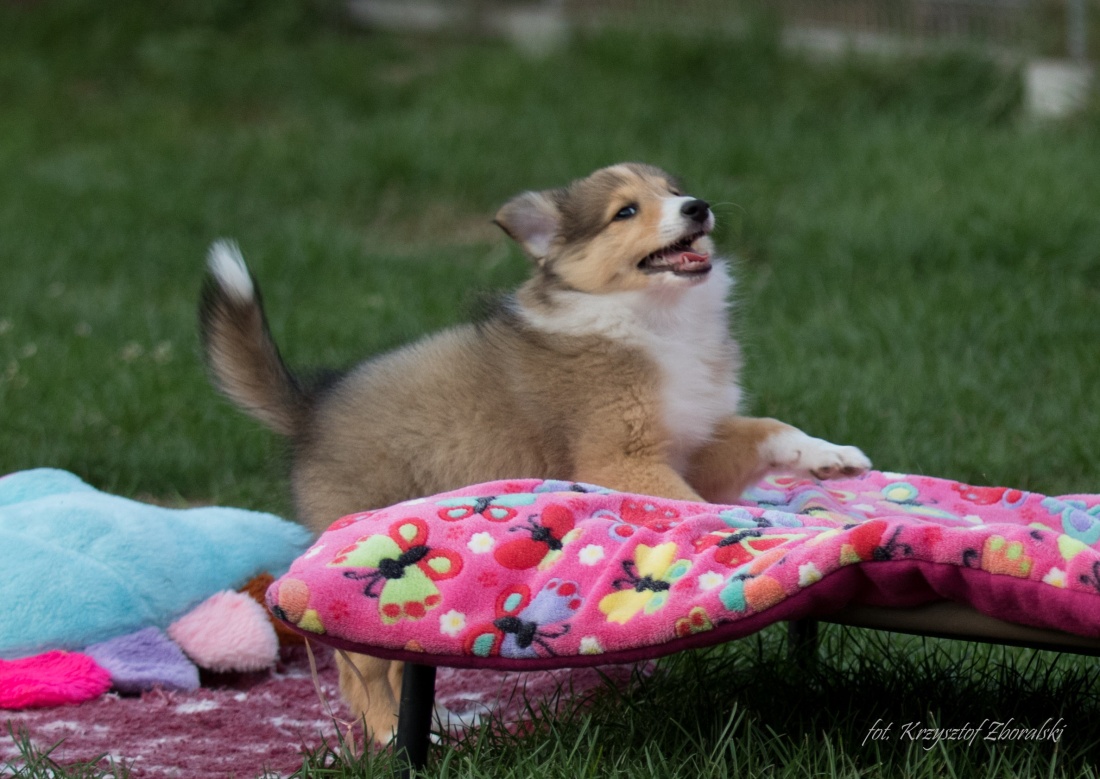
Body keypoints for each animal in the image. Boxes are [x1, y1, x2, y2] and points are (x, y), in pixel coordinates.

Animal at [195, 162, 866, 743]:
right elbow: (692, 502)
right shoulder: (620, 458)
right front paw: (757, 524)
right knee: (360, 667)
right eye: (626, 211)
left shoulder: (693, 441)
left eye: (673, 190)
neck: (656, 316)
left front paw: (833, 456)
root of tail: (310, 405)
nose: (696, 207)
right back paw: (391, 734)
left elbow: (767, 427)